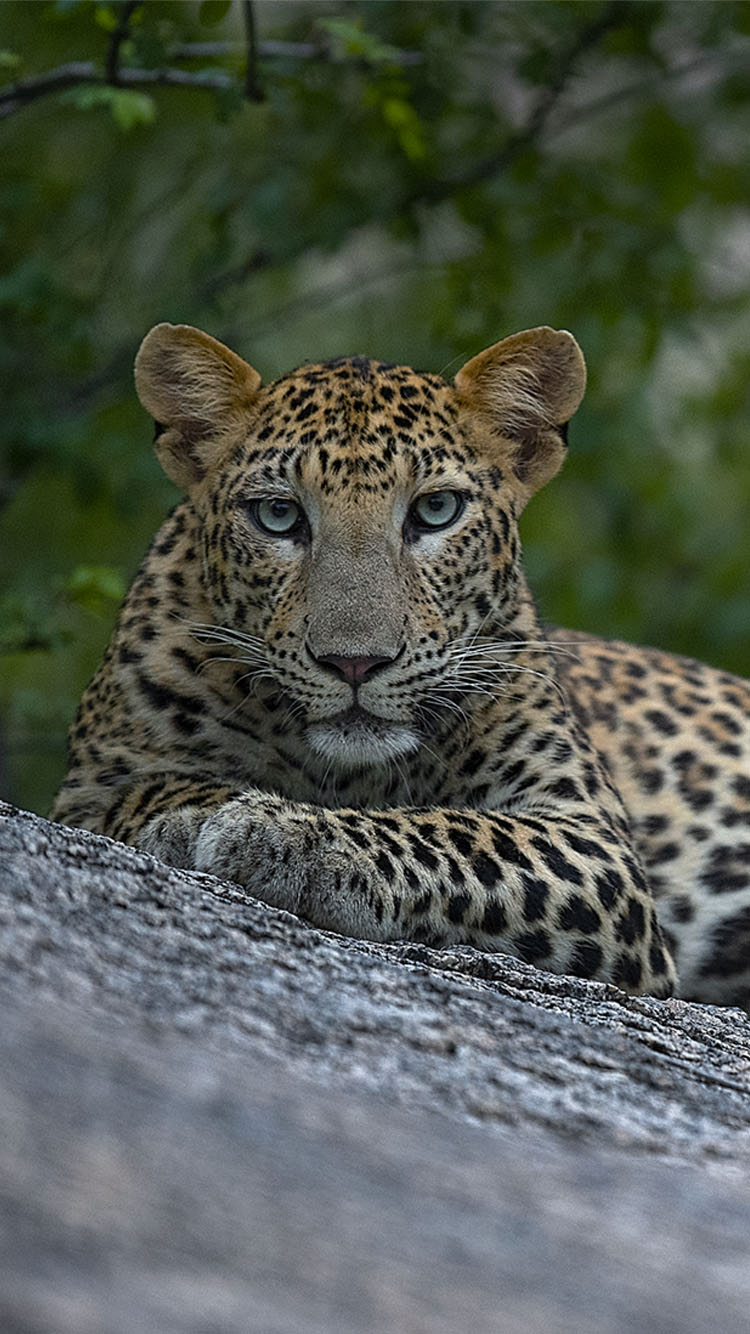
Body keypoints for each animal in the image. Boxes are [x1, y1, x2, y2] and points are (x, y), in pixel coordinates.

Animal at [51, 325, 747, 1003]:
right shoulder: (86, 789)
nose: (355, 664)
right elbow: (148, 789)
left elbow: (453, 834)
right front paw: (196, 813)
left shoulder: (593, 842)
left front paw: (284, 836)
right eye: (278, 515)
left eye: (436, 511)